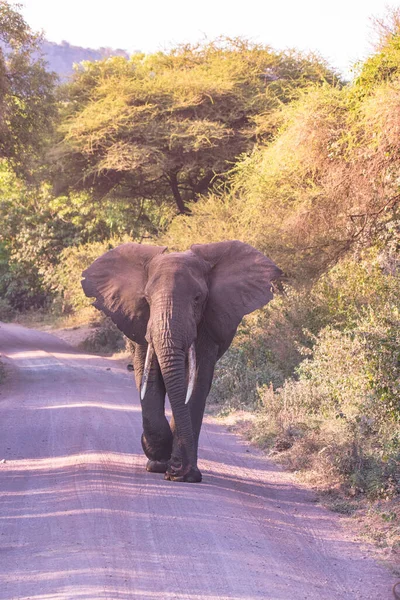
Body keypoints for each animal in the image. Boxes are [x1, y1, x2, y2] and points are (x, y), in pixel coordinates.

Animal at [81, 239, 282, 482]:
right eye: (146, 299)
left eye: (198, 298)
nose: (177, 470)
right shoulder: (141, 322)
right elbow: (148, 377)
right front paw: (159, 461)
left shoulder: (207, 326)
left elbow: (195, 381)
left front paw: (182, 473)